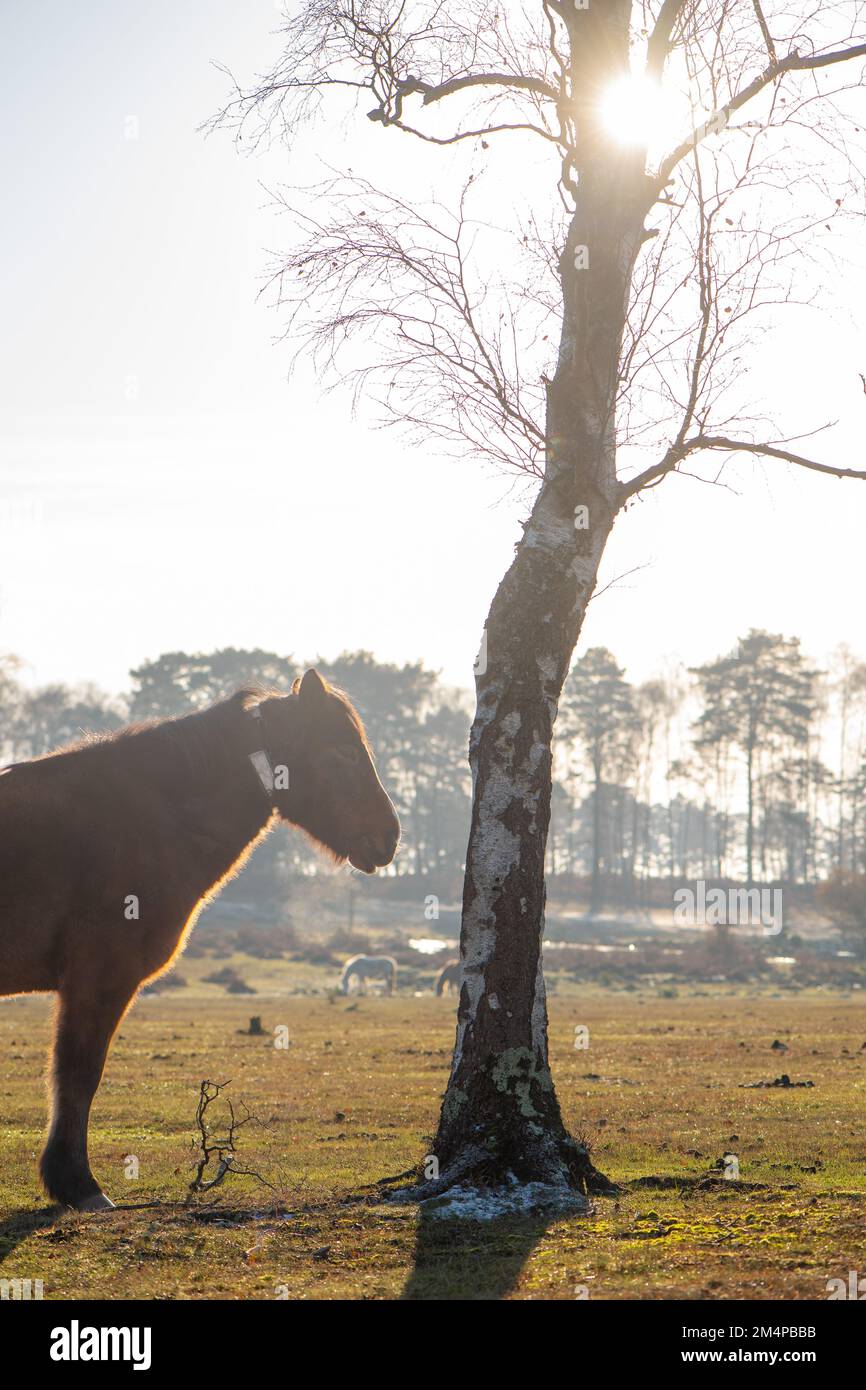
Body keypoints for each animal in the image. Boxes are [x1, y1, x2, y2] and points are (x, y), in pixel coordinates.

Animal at [0, 669, 400, 1206]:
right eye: (344, 753)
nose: (390, 836)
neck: (144, 818)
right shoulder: (97, 978)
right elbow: (79, 1074)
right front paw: (78, 1184)